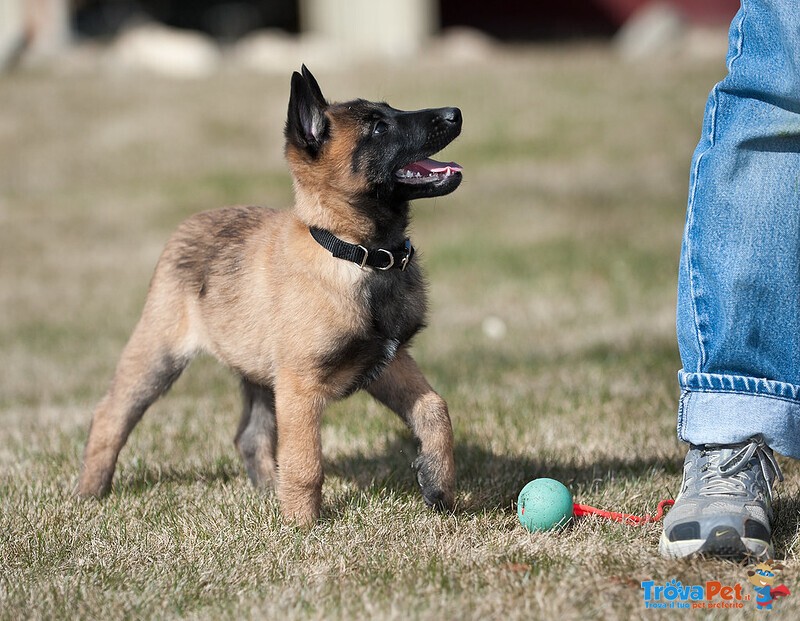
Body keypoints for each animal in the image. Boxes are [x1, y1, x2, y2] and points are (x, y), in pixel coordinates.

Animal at [76, 66, 462, 524]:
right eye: (378, 127)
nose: (455, 113)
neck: (357, 254)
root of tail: (192, 221)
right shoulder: (300, 387)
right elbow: (305, 462)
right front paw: (301, 527)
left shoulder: (388, 361)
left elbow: (435, 409)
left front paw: (438, 483)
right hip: (157, 355)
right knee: (110, 415)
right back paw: (89, 492)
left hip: (259, 374)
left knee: (249, 434)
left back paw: (264, 491)